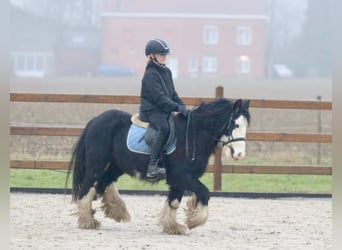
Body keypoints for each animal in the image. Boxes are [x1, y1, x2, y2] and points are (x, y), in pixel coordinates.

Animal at [65, 97, 250, 234]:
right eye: (236, 125)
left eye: (245, 126)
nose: (240, 155)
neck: (193, 136)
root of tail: (95, 120)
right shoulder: (182, 176)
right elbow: (204, 193)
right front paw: (193, 220)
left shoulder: (179, 181)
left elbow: (174, 201)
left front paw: (173, 226)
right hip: (96, 165)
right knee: (87, 189)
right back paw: (87, 221)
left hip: (116, 167)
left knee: (102, 184)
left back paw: (116, 211)